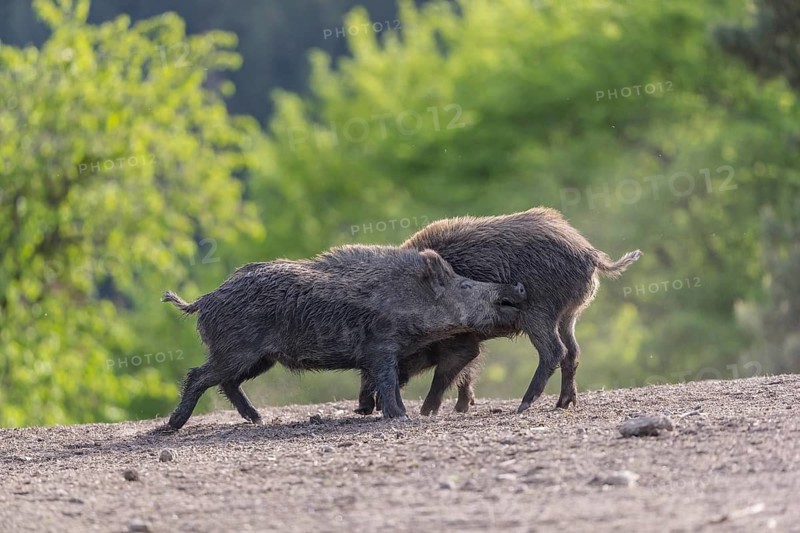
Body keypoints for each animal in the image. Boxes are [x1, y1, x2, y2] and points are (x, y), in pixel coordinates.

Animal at [160, 244, 527, 429]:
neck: (409, 299)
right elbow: (388, 382)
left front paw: (390, 412)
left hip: (259, 359)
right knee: (198, 375)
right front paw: (400, 416)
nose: (518, 286)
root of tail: (204, 300)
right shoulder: (381, 348)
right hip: (237, 351)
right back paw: (174, 425)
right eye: (464, 286)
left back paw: (257, 419)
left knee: (227, 382)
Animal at [356, 207, 641, 416]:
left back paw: (523, 406)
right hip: (568, 315)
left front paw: (428, 412)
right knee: (573, 352)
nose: (363, 408)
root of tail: (589, 254)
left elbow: (447, 373)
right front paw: (461, 408)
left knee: (555, 351)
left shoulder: (461, 342)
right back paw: (562, 404)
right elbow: (466, 373)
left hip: (539, 313)